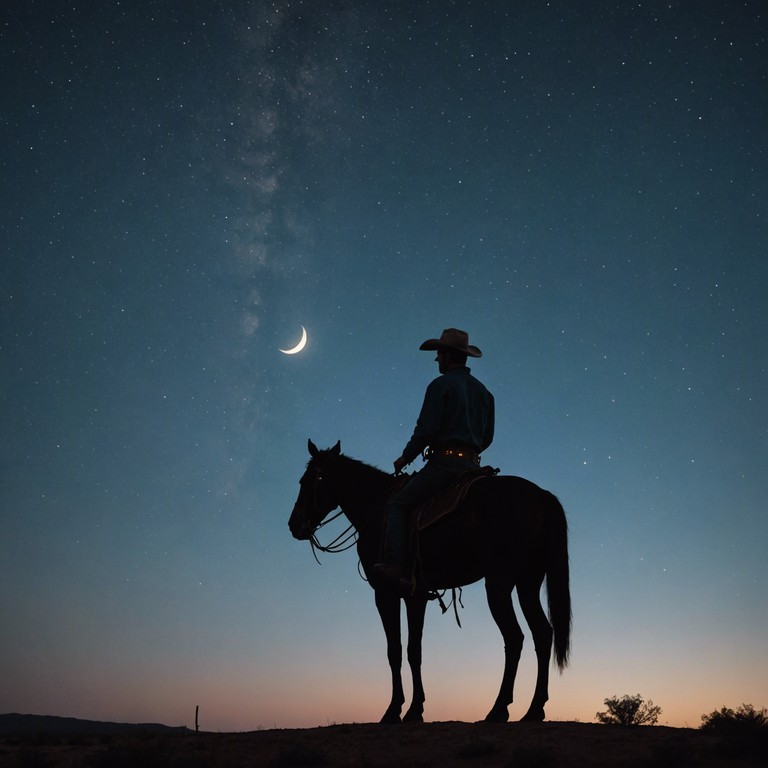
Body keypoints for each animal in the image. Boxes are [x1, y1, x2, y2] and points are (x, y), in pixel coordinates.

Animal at [288, 440, 568, 724]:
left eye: (308, 480)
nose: (293, 524)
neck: (376, 507)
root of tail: (541, 495)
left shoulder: (385, 592)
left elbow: (395, 650)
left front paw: (394, 710)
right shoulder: (416, 594)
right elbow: (414, 650)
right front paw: (415, 709)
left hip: (498, 584)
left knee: (514, 638)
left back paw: (498, 709)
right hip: (527, 584)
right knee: (542, 634)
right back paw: (534, 709)